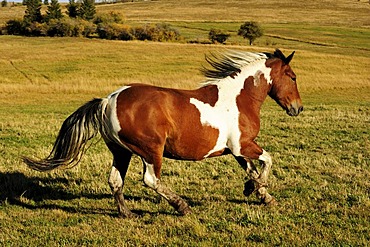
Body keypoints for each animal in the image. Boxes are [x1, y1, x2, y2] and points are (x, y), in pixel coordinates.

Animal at [23, 48, 304, 218]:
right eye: (292, 76)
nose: (297, 108)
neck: (239, 98)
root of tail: (108, 100)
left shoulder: (237, 150)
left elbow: (253, 170)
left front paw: (261, 195)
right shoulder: (243, 145)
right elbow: (268, 160)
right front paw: (255, 189)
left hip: (121, 151)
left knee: (115, 181)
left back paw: (126, 213)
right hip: (151, 150)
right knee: (150, 179)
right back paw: (182, 206)